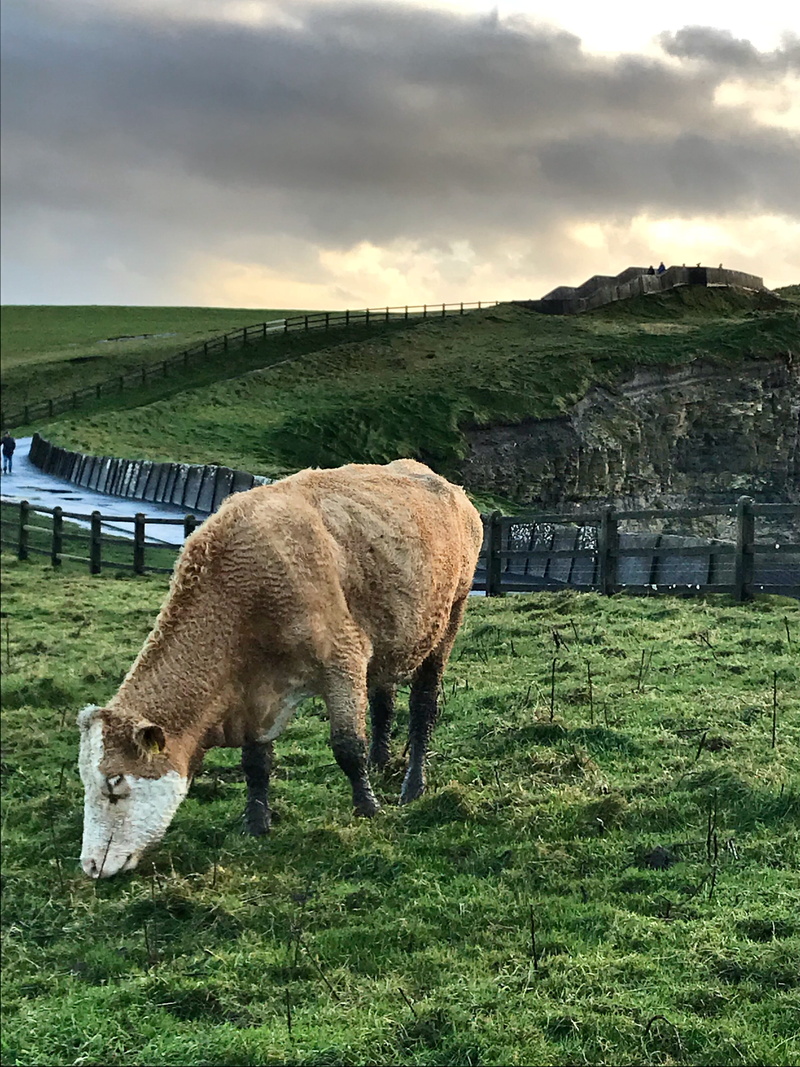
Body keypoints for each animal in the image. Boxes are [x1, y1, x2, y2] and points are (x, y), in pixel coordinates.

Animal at [78, 459, 484, 878]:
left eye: (114, 784)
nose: (92, 865)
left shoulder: (344, 657)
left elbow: (347, 746)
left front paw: (368, 808)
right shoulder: (255, 690)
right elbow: (256, 763)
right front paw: (256, 823)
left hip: (448, 619)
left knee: (423, 707)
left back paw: (412, 785)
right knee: (382, 702)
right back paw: (381, 761)